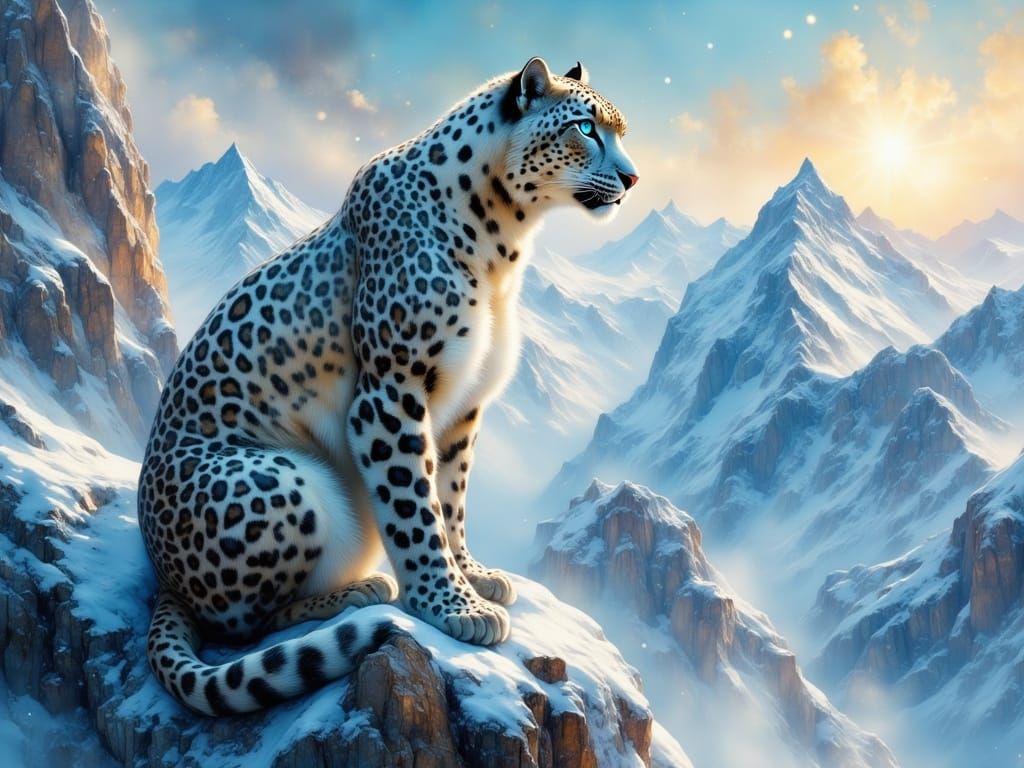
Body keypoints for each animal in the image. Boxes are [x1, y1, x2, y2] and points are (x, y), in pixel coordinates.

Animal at [138, 57, 638, 716]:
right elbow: (412, 507)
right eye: (585, 127)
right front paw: (450, 605)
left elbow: (450, 498)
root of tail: (161, 577)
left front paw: (474, 577)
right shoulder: (391, 393)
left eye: (621, 131)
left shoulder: (462, 408)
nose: (632, 178)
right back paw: (358, 592)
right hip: (282, 480)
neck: (505, 241)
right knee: (239, 623)